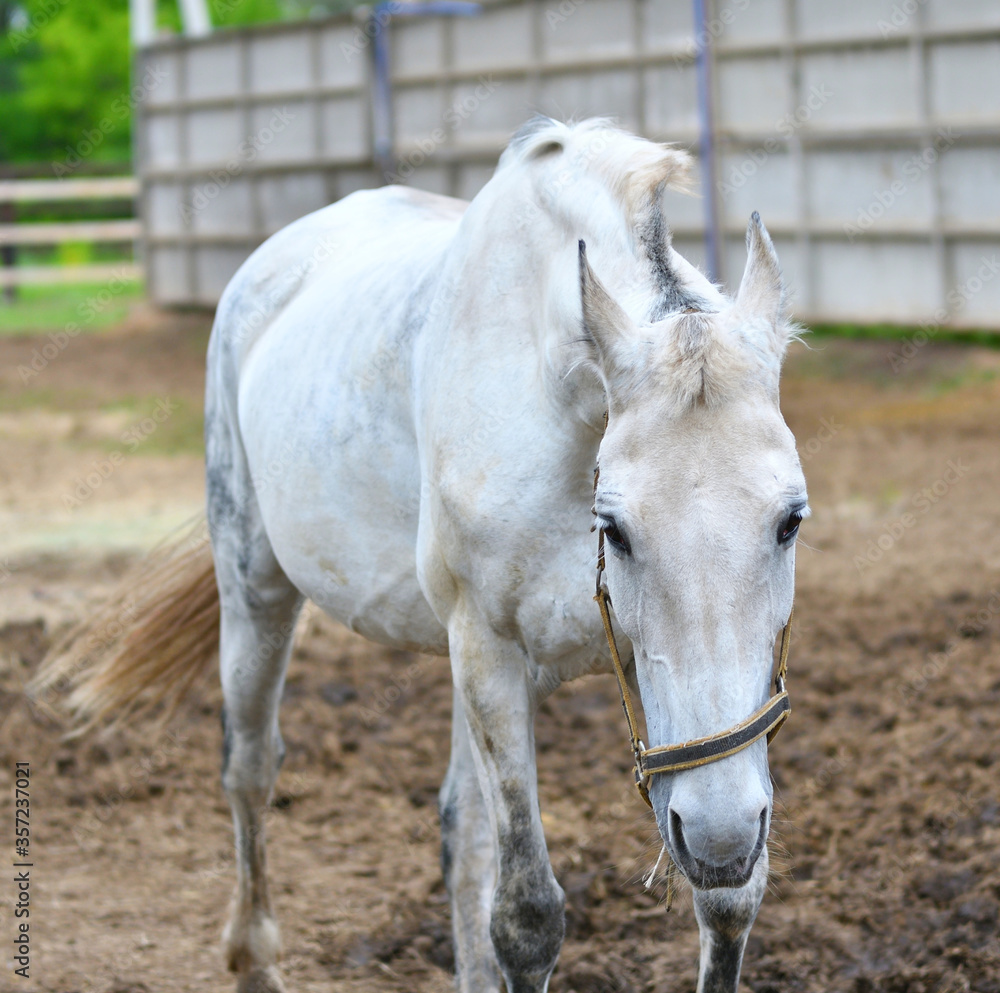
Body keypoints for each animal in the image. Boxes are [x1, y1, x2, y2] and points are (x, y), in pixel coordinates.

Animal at [34, 116, 808, 993]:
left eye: (790, 520)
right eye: (615, 528)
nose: (720, 833)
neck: (556, 395)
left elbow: (727, 903)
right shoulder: (488, 650)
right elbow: (526, 917)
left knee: (456, 825)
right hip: (255, 589)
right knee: (250, 767)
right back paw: (254, 954)